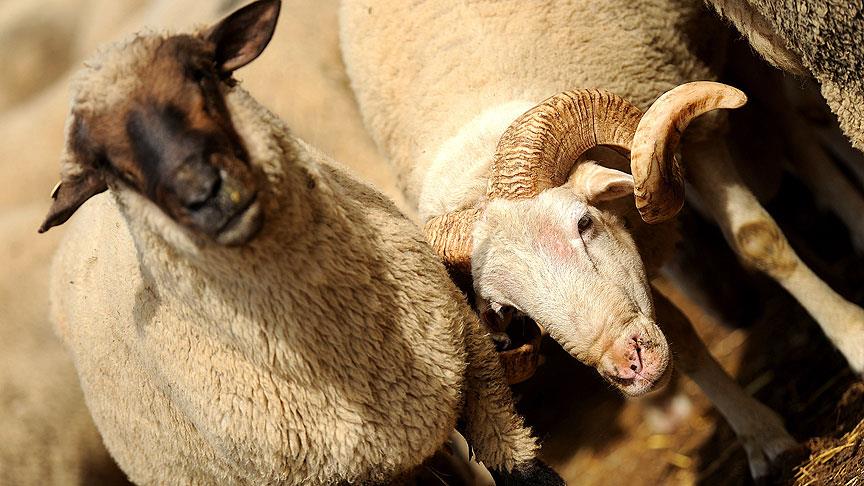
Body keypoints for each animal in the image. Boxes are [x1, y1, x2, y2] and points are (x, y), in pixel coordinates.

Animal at [340, 0, 864, 478]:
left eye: (583, 224)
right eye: (510, 309)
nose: (627, 366)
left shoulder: (695, 134)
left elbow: (757, 239)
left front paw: (854, 339)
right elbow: (682, 339)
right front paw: (760, 436)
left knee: (801, 124)